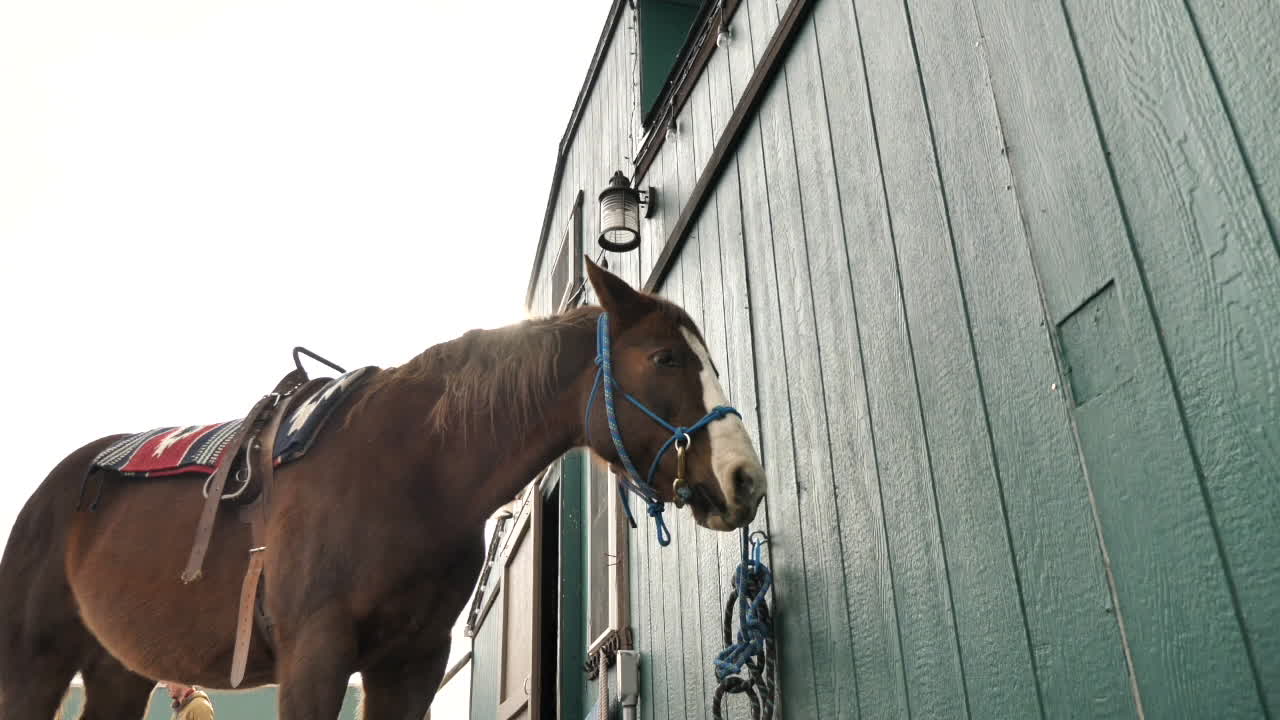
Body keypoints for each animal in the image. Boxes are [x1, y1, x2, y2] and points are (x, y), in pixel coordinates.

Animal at [0, 259, 767, 720]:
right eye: (665, 358)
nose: (746, 480)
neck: (409, 474)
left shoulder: (410, 667)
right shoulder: (315, 658)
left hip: (118, 671)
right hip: (33, 668)